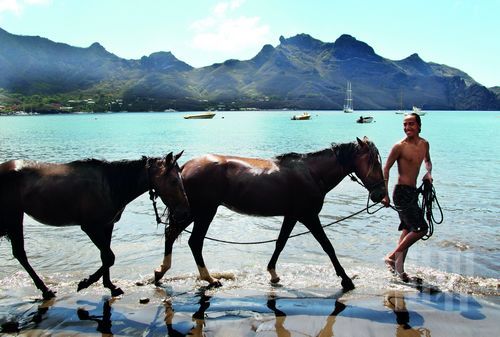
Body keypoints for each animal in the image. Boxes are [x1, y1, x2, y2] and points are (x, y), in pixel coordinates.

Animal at [0, 151, 191, 298]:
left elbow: (105, 256)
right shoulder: (91, 227)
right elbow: (109, 257)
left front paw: (110, 285)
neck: (111, 185)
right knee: (20, 253)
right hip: (13, 216)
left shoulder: (107, 225)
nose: (184, 211)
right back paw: (45, 290)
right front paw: (86, 282)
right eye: (174, 181)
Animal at [155, 138, 386, 290]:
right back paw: (206, 278)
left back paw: (162, 272)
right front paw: (346, 279)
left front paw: (273, 273)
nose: (381, 194)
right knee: (192, 241)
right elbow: (327, 246)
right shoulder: (309, 216)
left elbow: (280, 243)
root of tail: (184, 167)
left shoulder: (292, 215)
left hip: (194, 211)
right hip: (202, 211)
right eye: (375, 162)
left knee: (174, 235)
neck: (312, 173)